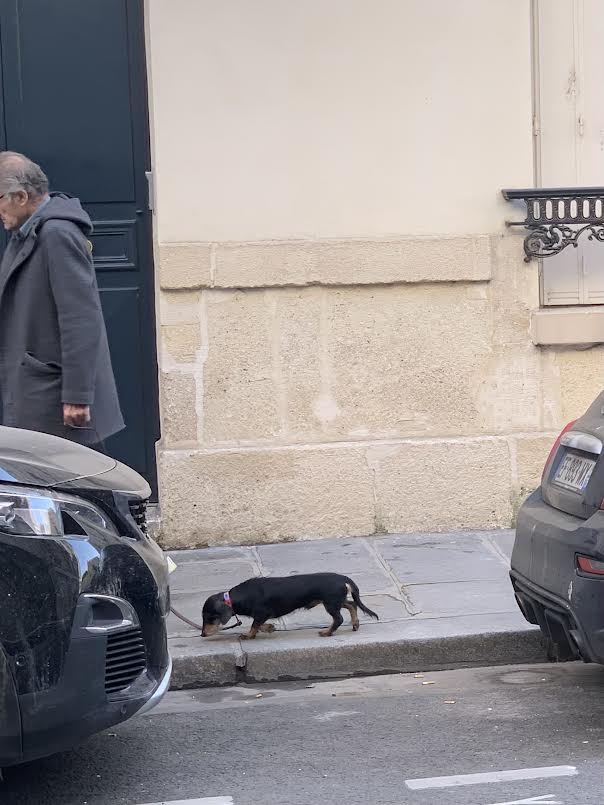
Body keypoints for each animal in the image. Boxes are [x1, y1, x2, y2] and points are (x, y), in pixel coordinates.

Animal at [201, 572, 378, 640]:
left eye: (209, 618)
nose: (202, 634)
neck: (234, 598)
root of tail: (343, 579)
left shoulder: (261, 613)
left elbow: (254, 625)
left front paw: (248, 635)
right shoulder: (262, 615)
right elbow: (259, 624)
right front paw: (270, 628)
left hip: (330, 603)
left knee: (339, 618)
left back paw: (327, 632)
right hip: (335, 601)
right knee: (352, 605)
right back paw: (355, 623)